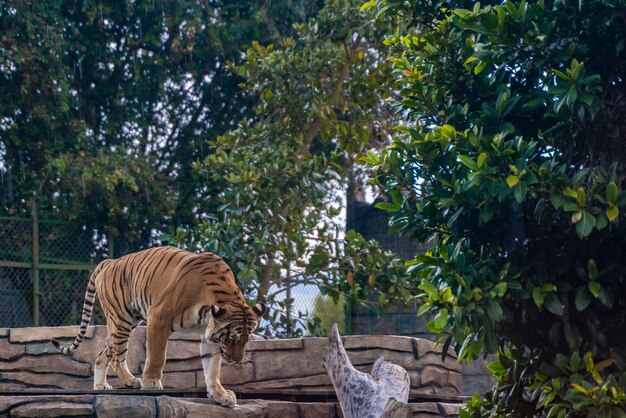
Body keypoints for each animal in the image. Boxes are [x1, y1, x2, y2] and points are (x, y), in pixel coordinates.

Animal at [49, 245, 264, 408]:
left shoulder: (209, 335)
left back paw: (101, 385)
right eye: (232, 339)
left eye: (246, 340)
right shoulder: (158, 317)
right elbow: (157, 357)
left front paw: (220, 394)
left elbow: (212, 368)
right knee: (118, 358)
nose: (237, 360)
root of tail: (110, 261)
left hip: (125, 322)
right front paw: (151, 382)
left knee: (103, 355)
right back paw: (132, 380)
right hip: (122, 320)